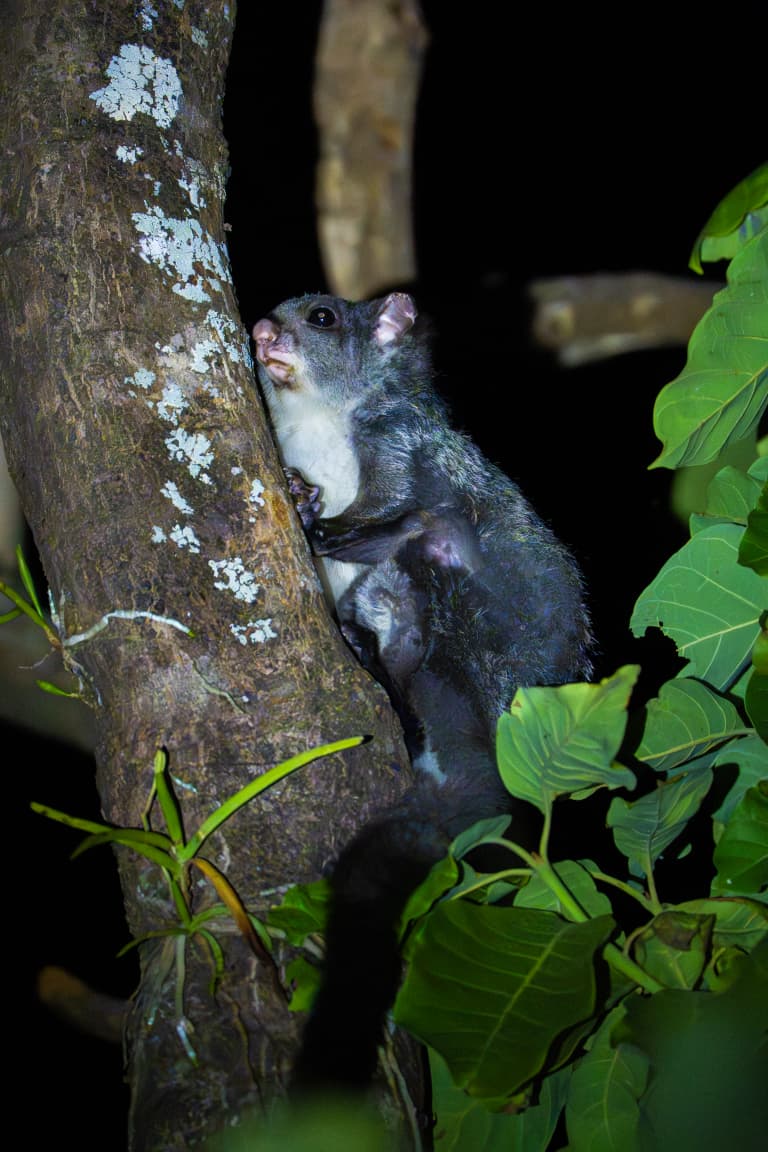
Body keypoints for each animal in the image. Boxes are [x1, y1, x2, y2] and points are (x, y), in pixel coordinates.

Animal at [253, 292, 592, 1090]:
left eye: (321, 317)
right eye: (277, 310)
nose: (260, 330)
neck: (319, 422)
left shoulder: (401, 443)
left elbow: (406, 509)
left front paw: (308, 508)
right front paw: (301, 497)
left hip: (470, 639)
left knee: (432, 537)